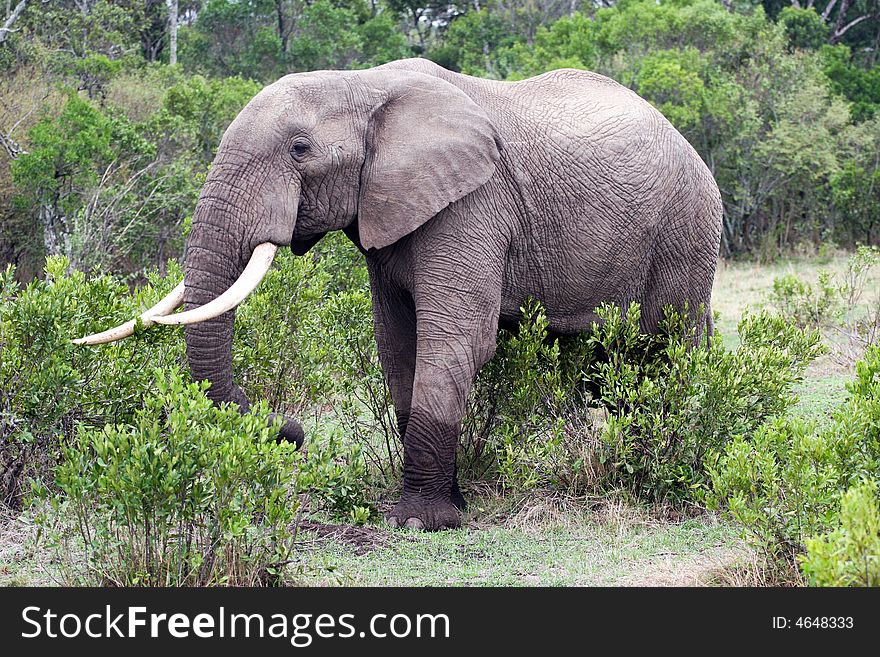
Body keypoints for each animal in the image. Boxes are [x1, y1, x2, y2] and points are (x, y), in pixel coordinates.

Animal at [75, 55, 720, 528]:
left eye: (299, 150)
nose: (290, 429)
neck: (363, 84)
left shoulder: (473, 202)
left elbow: (457, 340)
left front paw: (422, 522)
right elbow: (397, 344)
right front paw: (450, 504)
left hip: (685, 229)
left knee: (666, 352)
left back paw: (656, 473)